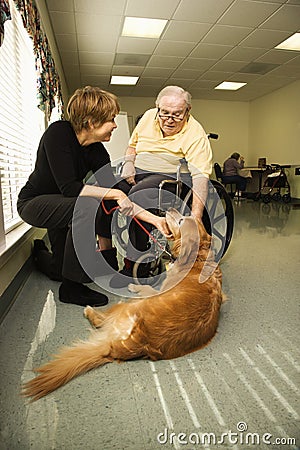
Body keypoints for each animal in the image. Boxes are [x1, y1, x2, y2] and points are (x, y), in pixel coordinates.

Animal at [22, 207, 225, 400]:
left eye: (181, 220)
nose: (170, 209)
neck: (197, 257)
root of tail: (138, 342)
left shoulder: (157, 291)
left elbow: (146, 287)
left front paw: (135, 285)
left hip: (129, 305)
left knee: (101, 320)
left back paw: (90, 310)